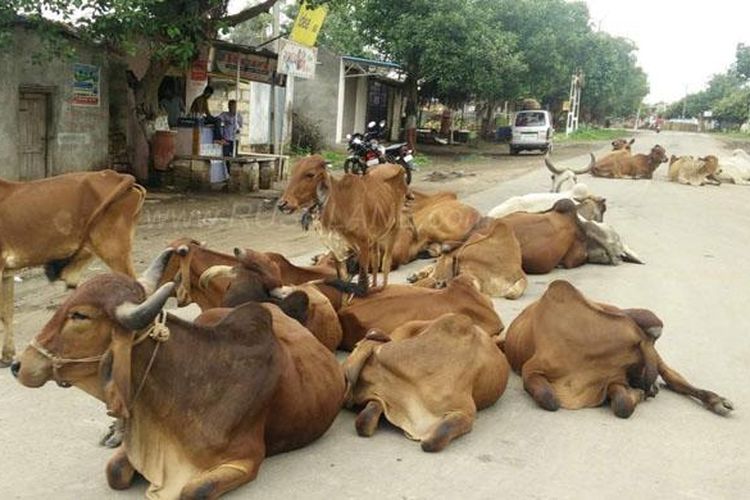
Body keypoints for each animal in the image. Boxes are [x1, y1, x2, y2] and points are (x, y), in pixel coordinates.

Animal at [278, 154, 408, 294]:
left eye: (310, 174)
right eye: (292, 172)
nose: (282, 204)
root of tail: (396, 166)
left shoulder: (363, 244)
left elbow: (356, 284)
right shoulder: (336, 248)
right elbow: (341, 278)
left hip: (394, 227)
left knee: (385, 262)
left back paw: (382, 287)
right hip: (376, 234)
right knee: (376, 258)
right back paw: (375, 285)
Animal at [500, 282, 736, 418]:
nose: (648, 388)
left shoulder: (615, 379)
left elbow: (622, 405)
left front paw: (640, 394)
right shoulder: (531, 370)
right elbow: (550, 399)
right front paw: (640, 393)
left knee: (675, 379)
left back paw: (717, 401)